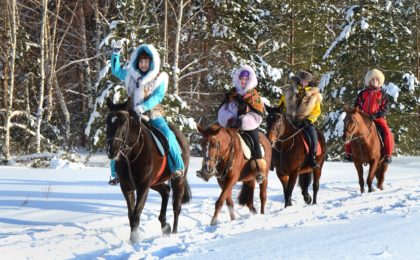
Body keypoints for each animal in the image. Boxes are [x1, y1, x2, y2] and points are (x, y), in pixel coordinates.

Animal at [106, 97, 191, 244]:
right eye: (107, 121)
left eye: (124, 121)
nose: (112, 150)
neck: (131, 154)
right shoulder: (127, 188)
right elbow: (131, 215)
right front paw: (133, 239)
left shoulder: (143, 187)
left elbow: (135, 216)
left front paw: (134, 240)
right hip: (155, 182)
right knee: (165, 191)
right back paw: (165, 225)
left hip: (178, 180)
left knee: (176, 207)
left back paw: (174, 232)